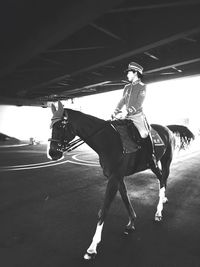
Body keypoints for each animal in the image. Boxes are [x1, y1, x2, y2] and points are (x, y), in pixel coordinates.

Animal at [47, 101, 194, 262]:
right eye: (51, 126)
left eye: (60, 126)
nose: (52, 153)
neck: (108, 140)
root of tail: (166, 128)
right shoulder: (118, 177)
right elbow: (125, 198)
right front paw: (131, 222)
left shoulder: (114, 177)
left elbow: (104, 209)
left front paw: (92, 247)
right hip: (154, 165)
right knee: (162, 178)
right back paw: (163, 200)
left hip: (166, 161)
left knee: (163, 178)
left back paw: (159, 211)